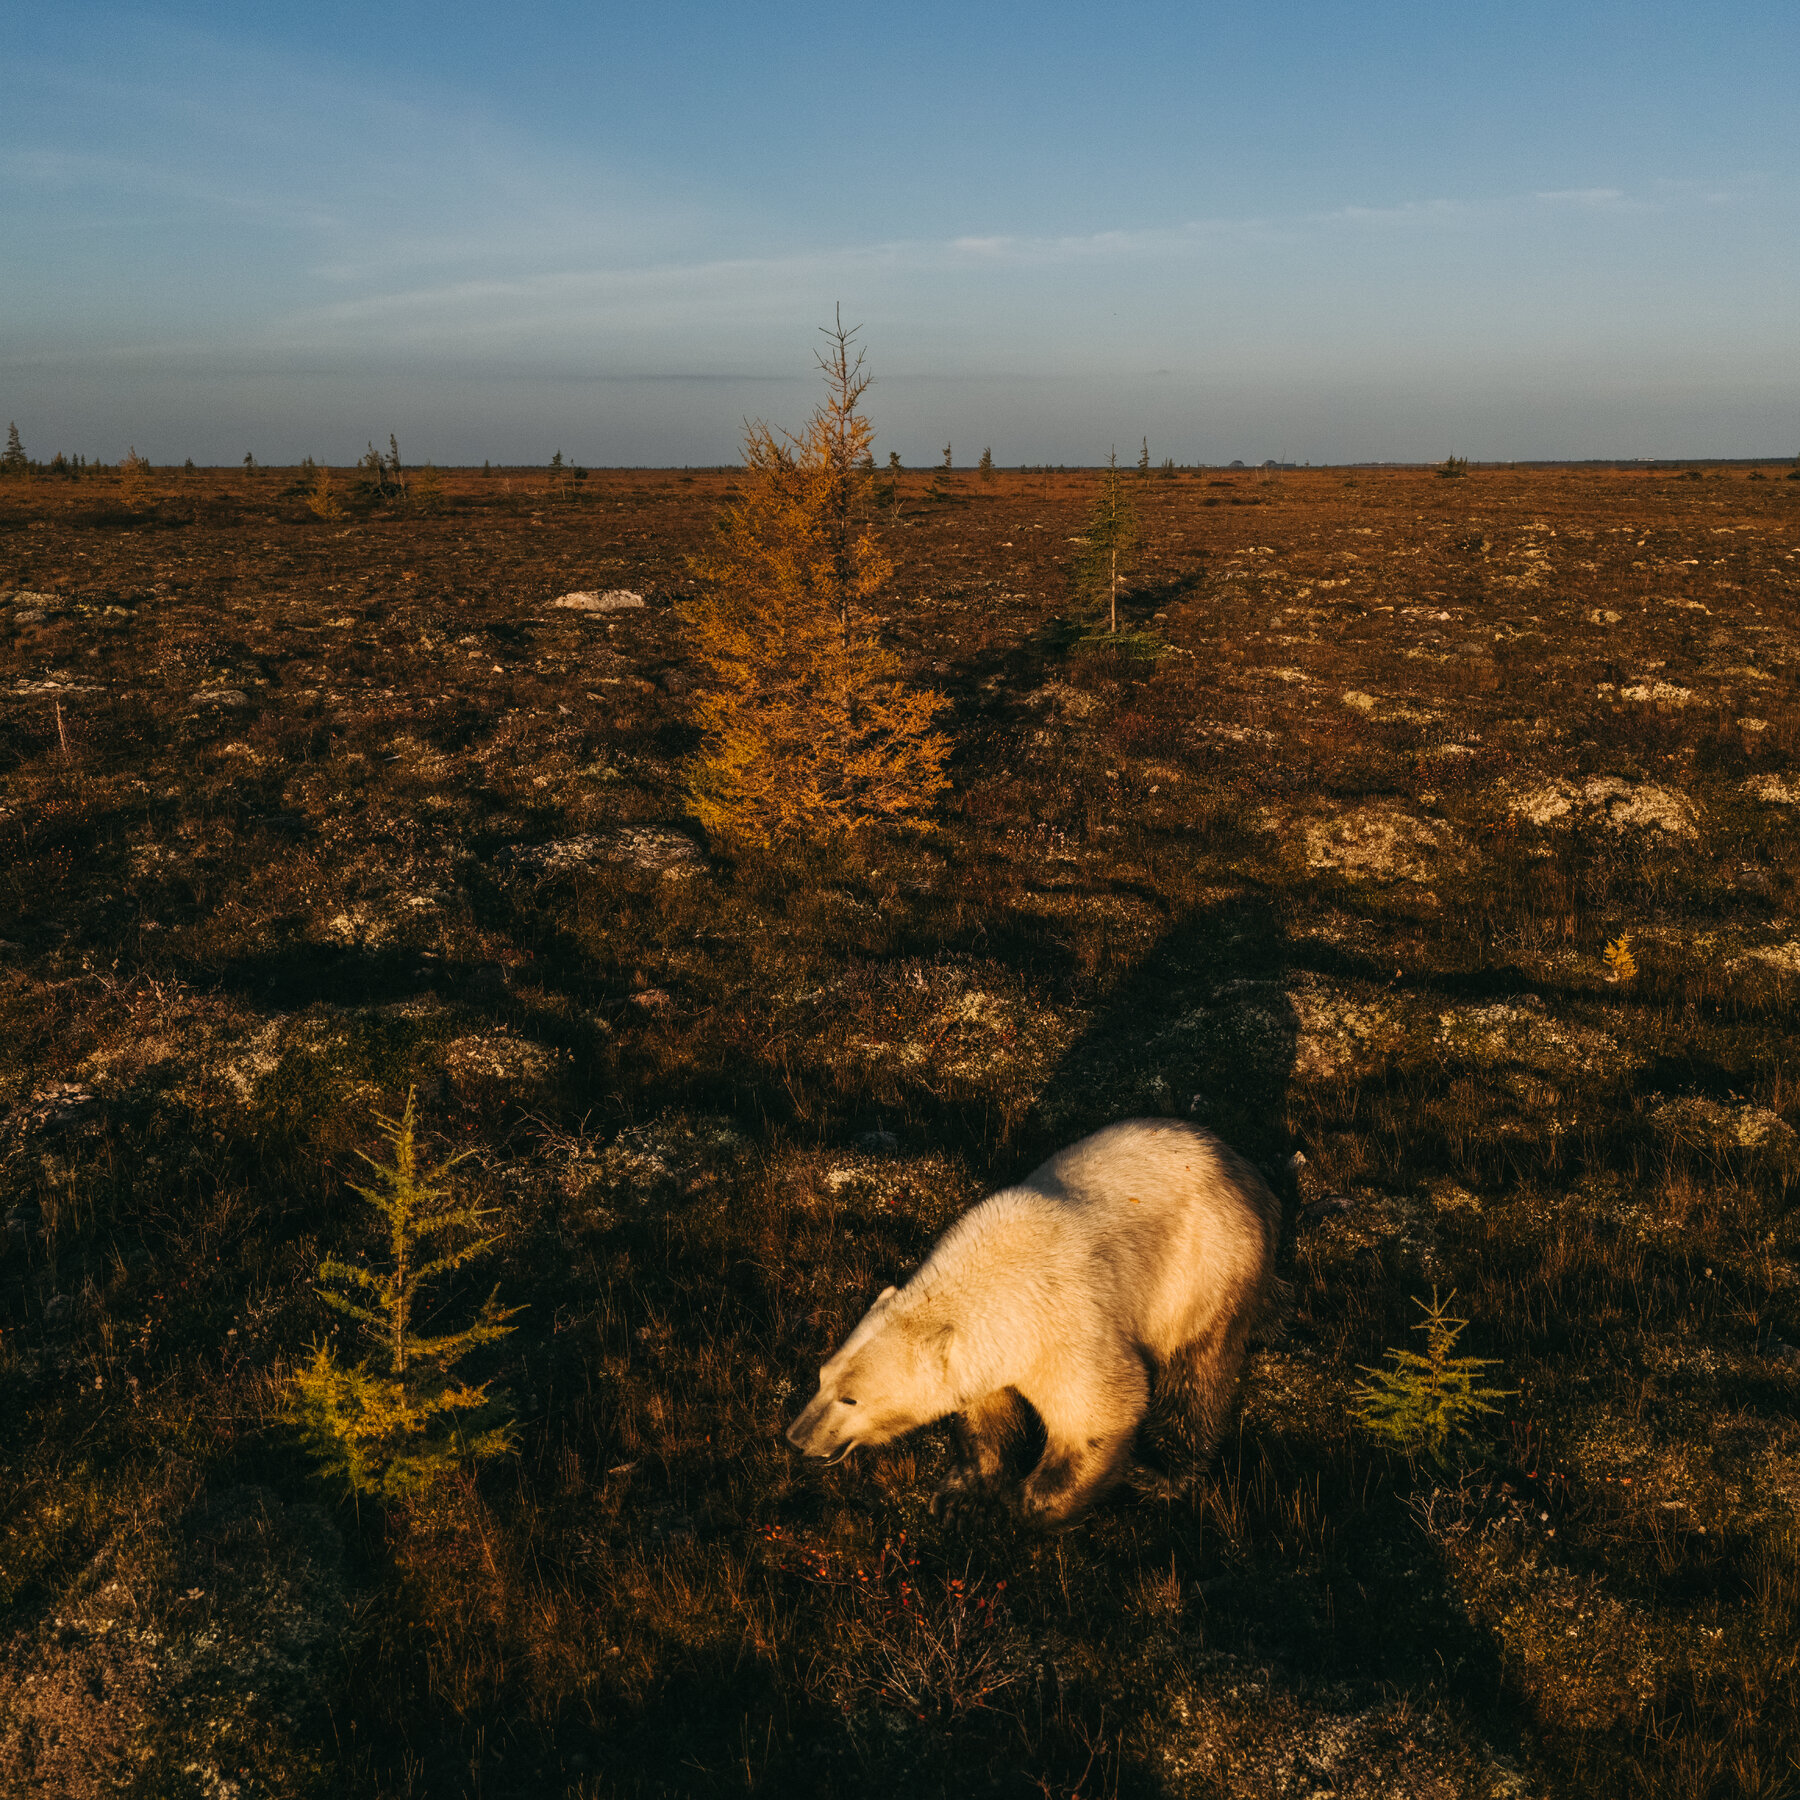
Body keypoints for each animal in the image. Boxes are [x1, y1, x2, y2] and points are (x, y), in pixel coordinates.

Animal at [785, 1118, 1285, 1525]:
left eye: (851, 1399)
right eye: (821, 1376)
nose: (796, 1439)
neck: (995, 1275)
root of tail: (1245, 1170)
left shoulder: (1068, 1325)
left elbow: (1102, 1411)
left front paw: (1031, 1503)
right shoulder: (990, 1349)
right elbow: (986, 1412)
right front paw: (961, 1497)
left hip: (1206, 1271)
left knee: (1196, 1375)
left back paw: (1160, 1474)